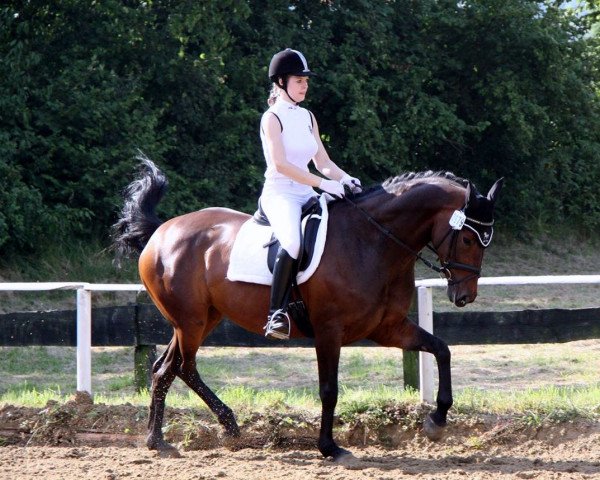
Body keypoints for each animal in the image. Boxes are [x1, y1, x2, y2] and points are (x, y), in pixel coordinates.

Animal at [111, 156, 502, 460]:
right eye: (469, 239)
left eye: (487, 241)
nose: (465, 297)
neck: (373, 242)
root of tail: (163, 230)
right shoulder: (329, 331)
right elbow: (329, 389)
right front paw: (330, 448)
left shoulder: (387, 327)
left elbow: (442, 349)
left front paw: (437, 421)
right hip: (189, 321)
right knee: (178, 367)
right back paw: (181, 435)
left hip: (204, 318)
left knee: (169, 368)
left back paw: (187, 434)